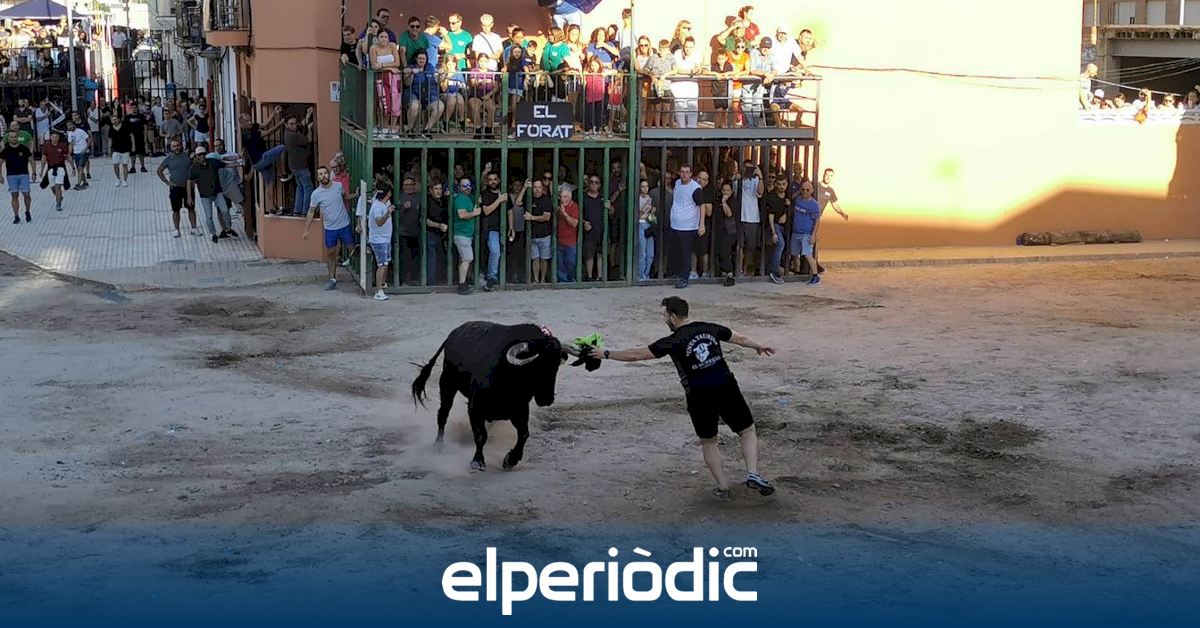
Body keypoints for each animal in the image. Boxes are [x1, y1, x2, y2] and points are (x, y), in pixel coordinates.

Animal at [411, 322, 585, 471]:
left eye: (556, 366)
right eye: (537, 365)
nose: (547, 399)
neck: (508, 375)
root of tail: (454, 334)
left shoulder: (520, 409)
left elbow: (524, 434)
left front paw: (510, 460)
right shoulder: (475, 408)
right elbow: (481, 435)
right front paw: (478, 461)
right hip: (447, 383)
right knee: (443, 414)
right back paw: (438, 446)